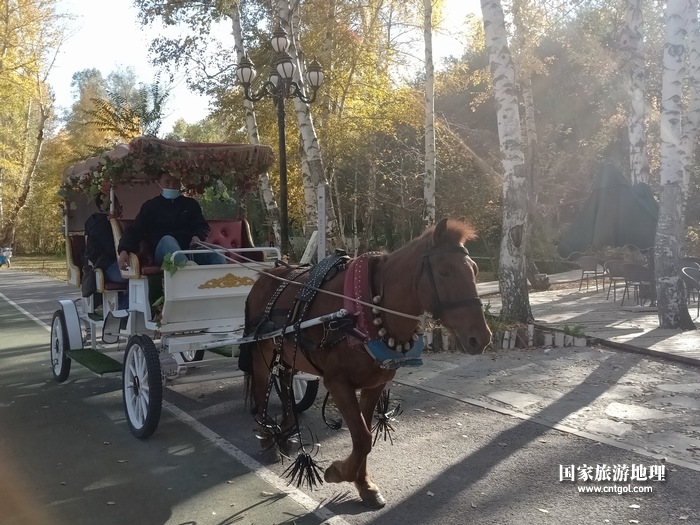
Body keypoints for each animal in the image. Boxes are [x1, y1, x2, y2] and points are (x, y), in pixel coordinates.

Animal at [243, 215, 490, 506]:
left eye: (475, 270)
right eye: (444, 272)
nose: (481, 338)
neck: (364, 313)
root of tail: (264, 277)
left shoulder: (374, 384)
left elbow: (366, 434)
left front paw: (364, 484)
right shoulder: (338, 383)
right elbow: (362, 438)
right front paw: (339, 472)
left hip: (288, 353)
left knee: (285, 382)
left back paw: (286, 431)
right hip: (261, 355)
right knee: (261, 391)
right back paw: (268, 439)